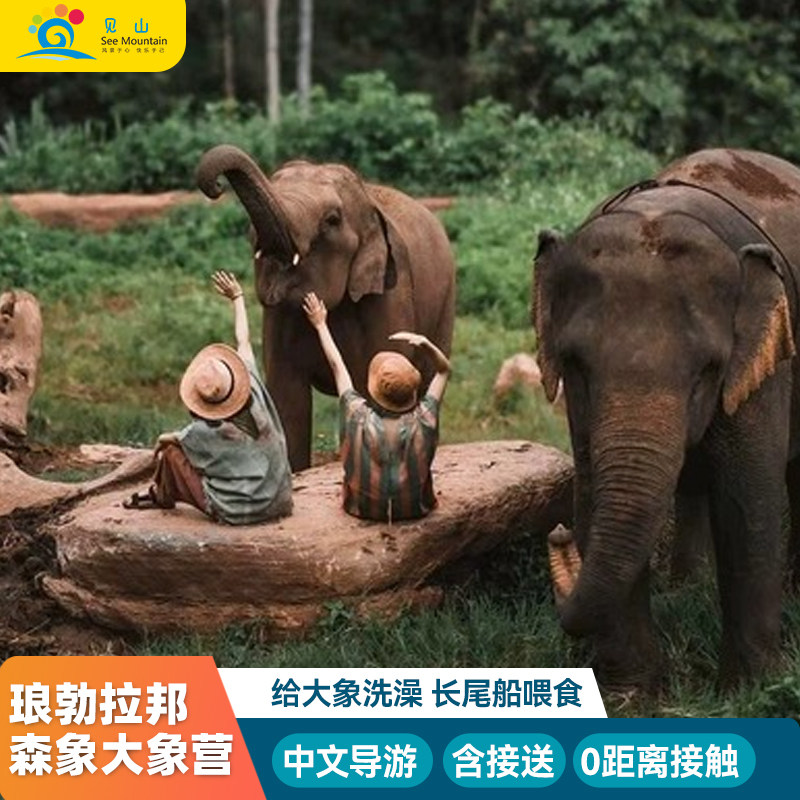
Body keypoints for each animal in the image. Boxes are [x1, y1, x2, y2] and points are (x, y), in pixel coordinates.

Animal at [534, 148, 800, 692]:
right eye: (575, 364)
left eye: (708, 370)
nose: (557, 534)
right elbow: (593, 486)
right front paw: (632, 692)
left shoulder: (765, 363)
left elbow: (748, 493)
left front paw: (753, 687)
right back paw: (686, 587)